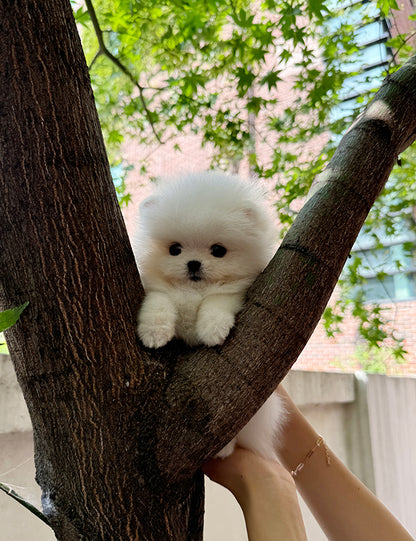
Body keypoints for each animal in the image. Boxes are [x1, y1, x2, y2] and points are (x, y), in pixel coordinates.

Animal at [133, 171, 286, 458]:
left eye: (218, 250)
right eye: (175, 249)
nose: (193, 263)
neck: (193, 290)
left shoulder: (235, 291)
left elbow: (217, 303)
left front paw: (212, 332)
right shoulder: (158, 290)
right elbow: (160, 304)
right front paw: (154, 334)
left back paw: (225, 449)